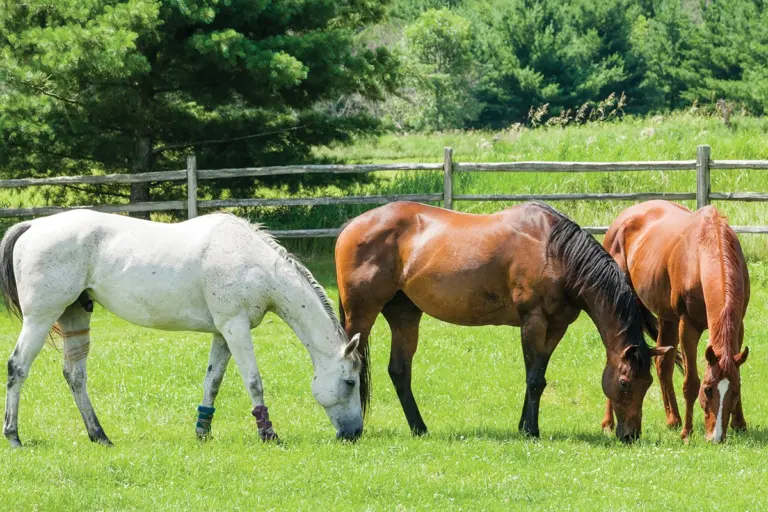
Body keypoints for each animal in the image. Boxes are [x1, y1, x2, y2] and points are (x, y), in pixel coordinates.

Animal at [0, 210, 363, 447]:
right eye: (350, 382)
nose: (355, 434)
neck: (254, 264)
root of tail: (33, 225)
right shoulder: (236, 328)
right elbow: (253, 381)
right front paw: (268, 433)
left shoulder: (223, 333)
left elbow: (213, 382)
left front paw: (203, 431)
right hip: (41, 317)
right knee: (17, 367)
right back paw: (14, 436)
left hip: (74, 315)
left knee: (75, 375)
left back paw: (99, 435)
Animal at [335, 201, 670, 443]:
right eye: (625, 383)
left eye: (648, 383)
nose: (630, 436)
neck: (555, 252)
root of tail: (351, 226)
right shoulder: (533, 322)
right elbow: (534, 379)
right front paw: (531, 431)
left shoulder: (556, 328)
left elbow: (538, 377)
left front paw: (524, 425)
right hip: (361, 314)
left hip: (404, 315)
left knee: (400, 371)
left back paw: (419, 428)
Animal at [601, 200, 749, 442]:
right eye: (708, 389)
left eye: (734, 391)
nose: (715, 437)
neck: (704, 251)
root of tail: (622, 218)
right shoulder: (687, 326)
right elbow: (691, 383)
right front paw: (687, 433)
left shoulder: (738, 327)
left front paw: (740, 424)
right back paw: (608, 423)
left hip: (666, 319)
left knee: (663, 364)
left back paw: (673, 419)